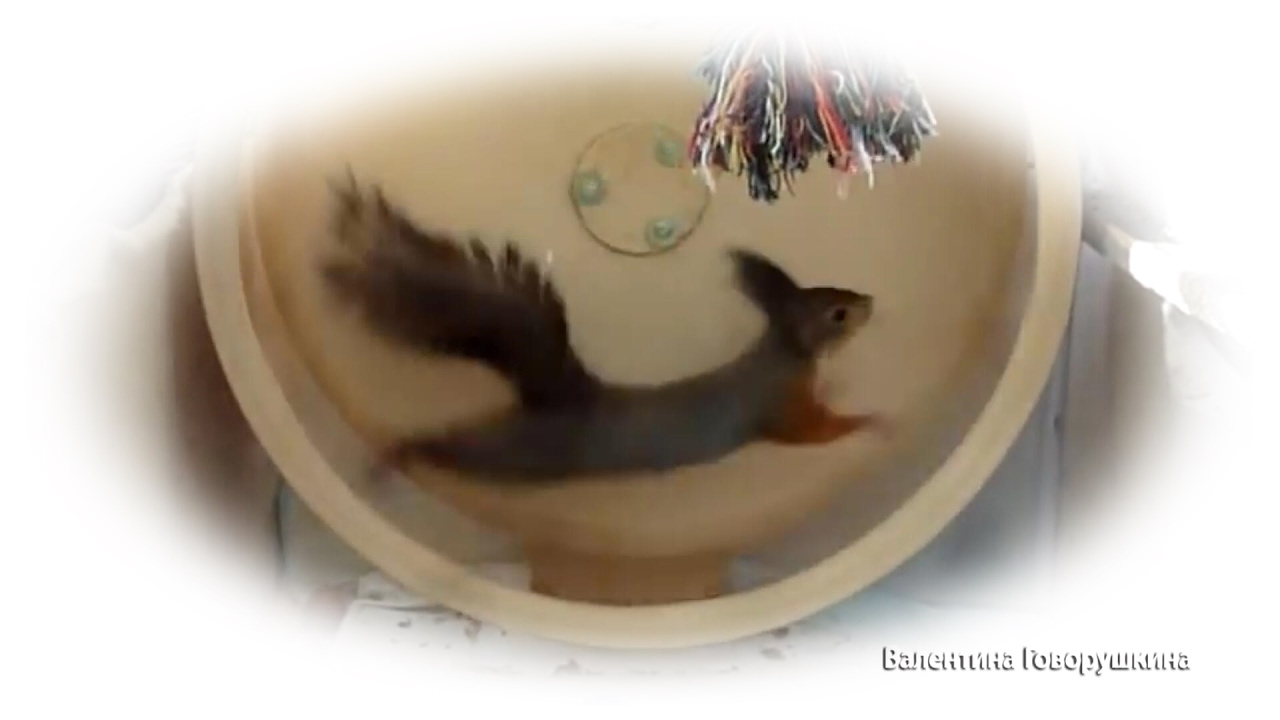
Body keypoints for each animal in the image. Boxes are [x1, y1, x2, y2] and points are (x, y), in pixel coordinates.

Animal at [320, 170, 886, 483]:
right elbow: (816, 432)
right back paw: (398, 453)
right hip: (518, 455)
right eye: (837, 315)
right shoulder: (781, 409)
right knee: (452, 444)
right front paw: (869, 420)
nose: (870, 301)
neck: (783, 354)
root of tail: (563, 400)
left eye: (838, 289)